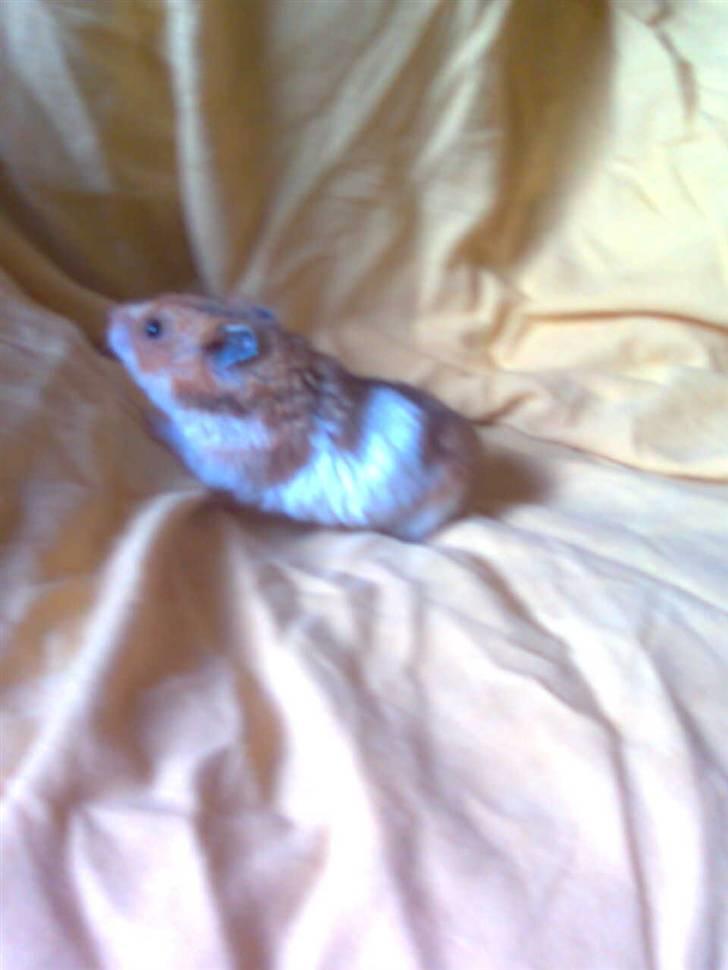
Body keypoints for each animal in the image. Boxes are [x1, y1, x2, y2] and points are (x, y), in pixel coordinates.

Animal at [107, 293, 478, 541]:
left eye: (153, 329)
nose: (110, 314)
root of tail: (473, 448)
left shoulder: (214, 461)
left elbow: (178, 437)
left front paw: (147, 417)